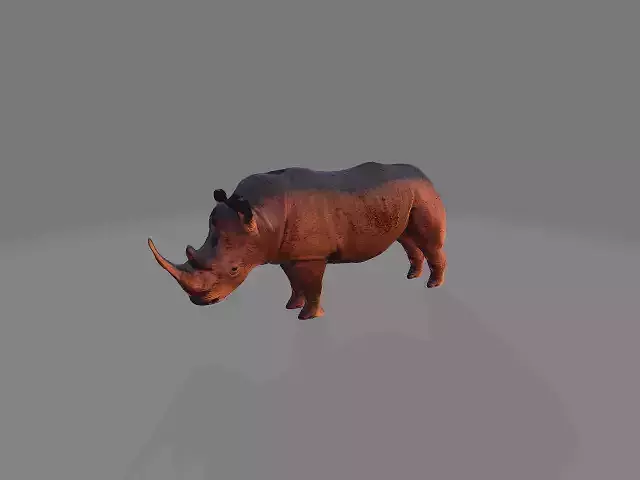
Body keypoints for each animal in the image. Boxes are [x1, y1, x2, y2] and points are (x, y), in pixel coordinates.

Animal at [148, 161, 447, 319]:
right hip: (404, 196)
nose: (200, 303)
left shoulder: (311, 254)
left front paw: (308, 317)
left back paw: (433, 285)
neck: (261, 218)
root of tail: (425, 175)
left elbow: (313, 285)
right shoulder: (287, 252)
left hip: (423, 194)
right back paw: (411, 276)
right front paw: (291, 306)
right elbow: (295, 282)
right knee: (406, 238)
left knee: (427, 240)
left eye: (234, 269)